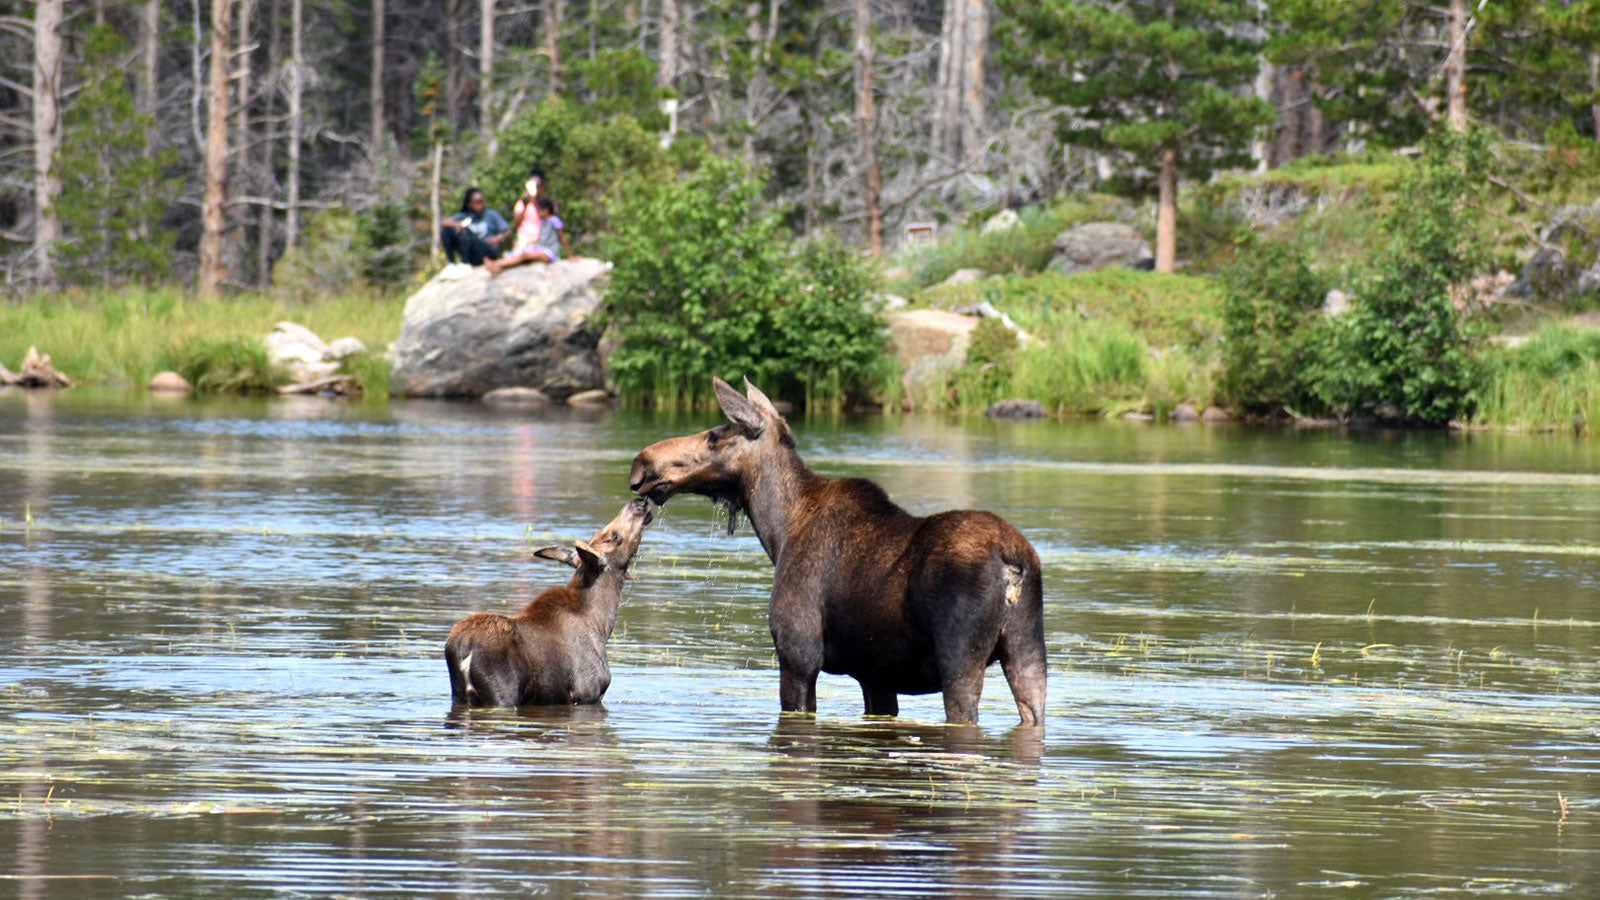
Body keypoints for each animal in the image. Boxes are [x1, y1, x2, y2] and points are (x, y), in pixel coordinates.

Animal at [444, 498, 653, 707]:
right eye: (615, 536)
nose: (639, 502)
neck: (601, 623)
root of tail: (461, 647)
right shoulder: (587, 693)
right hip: (501, 697)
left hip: (459, 696)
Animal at [629, 377, 1047, 727]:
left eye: (714, 436)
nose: (642, 464)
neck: (778, 530)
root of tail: (1014, 561)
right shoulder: (876, 675)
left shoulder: (798, 655)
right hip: (1028, 650)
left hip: (960, 659)